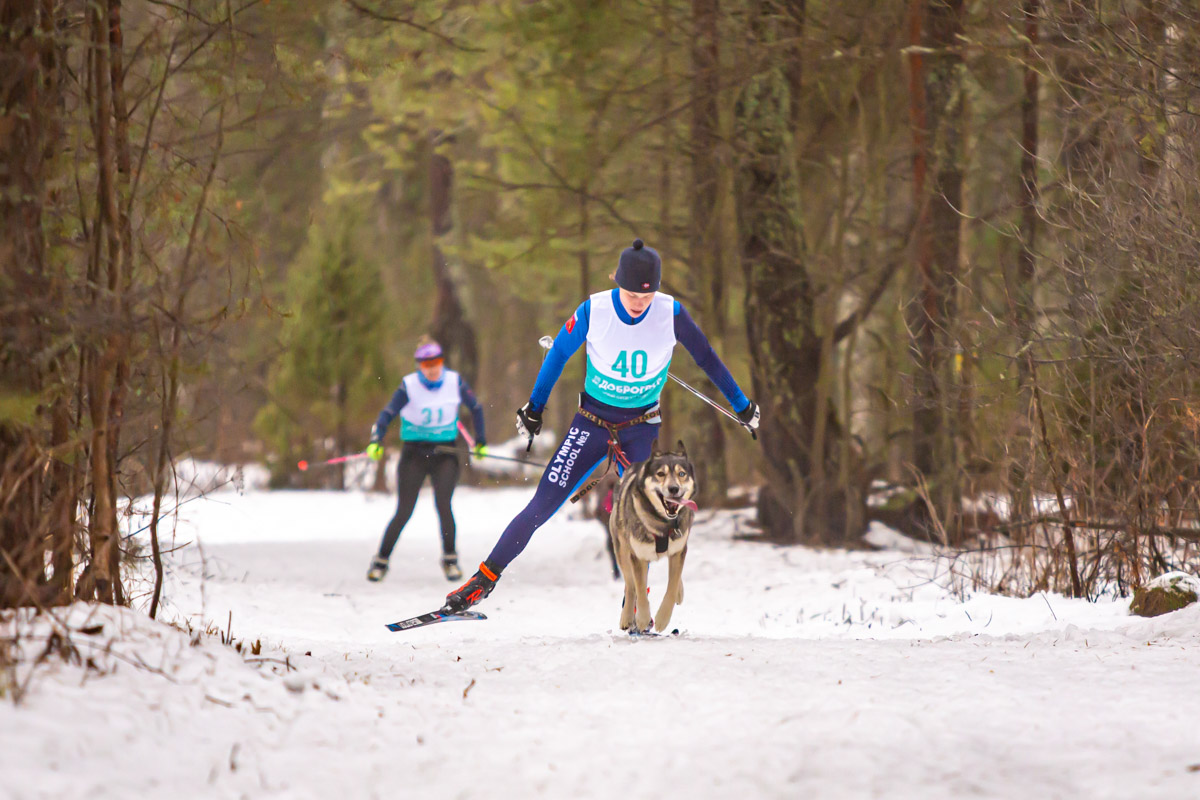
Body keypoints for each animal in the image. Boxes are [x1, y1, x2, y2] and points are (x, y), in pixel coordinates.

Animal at [609, 438, 696, 633]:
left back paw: (679, 592)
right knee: (630, 585)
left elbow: (672, 585)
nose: (674, 488)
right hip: (622, 550)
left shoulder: (679, 550)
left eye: (681, 473)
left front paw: (663, 618)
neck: (663, 523)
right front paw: (642, 618)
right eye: (660, 474)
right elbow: (640, 589)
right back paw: (627, 616)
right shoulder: (638, 555)